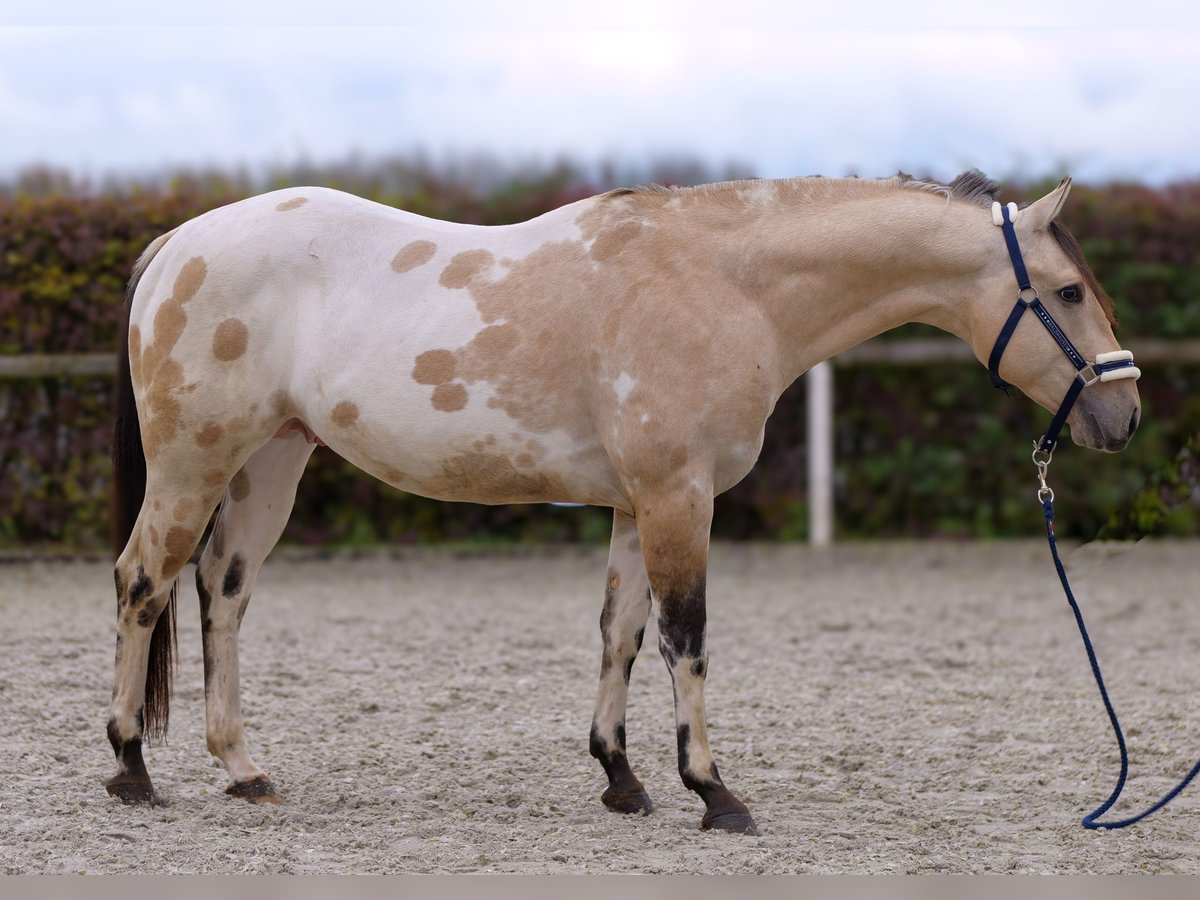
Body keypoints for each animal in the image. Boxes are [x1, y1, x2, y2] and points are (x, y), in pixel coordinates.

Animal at [108, 172, 1137, 835]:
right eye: (1067, 292)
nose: (1122, 416)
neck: (725, 284)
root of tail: (176, 245)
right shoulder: (679, 497)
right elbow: (687, 638)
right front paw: (714, 793)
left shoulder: (639, 505)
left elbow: (622, 634)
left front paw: (620, 778)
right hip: (194, 463)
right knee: (143, 584)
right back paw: (130, 767)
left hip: (270, 466)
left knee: (223, 595)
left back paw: (244, 771)